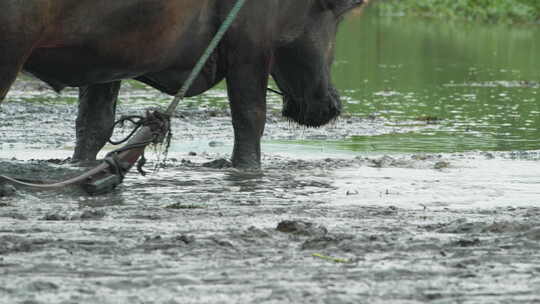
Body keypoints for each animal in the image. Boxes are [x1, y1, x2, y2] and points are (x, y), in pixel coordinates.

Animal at [0, 0, 364, 169]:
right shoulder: (251, 44)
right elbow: (250, 118)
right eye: (341, 8)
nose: (333, 103)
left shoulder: (108, 56)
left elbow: (94, 125)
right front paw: (247, 168)